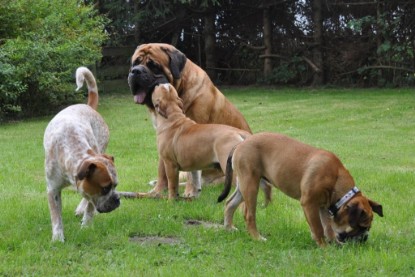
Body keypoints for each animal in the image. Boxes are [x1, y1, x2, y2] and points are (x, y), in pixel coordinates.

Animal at [43, 67, 120, 242]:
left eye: (116, 186)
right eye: (106, 188)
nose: (117, 199)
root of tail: (88, 107)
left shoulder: (91, 192)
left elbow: (90, 206)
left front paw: (86, 226)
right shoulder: (52, 189)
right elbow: (56, 216)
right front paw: (57, 238)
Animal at [127, 43, 252, 197]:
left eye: (154, 65)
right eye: (135, 63)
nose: (135, 71)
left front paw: (188, 193)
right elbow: (162, 169)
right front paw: (157, 191)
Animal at [218, 132, 384, 246]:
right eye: (361, 227)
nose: (365, 237)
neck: (336, 178)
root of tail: (241, 143)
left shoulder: (323, 206)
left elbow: (328, 227)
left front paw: (333, 243)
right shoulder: (309, 204)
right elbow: (318, 228)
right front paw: (324, 247)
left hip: (243, 186)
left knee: (229, 204)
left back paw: (228, 228)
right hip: (250, 185)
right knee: (248, 214)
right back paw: (257, 237)